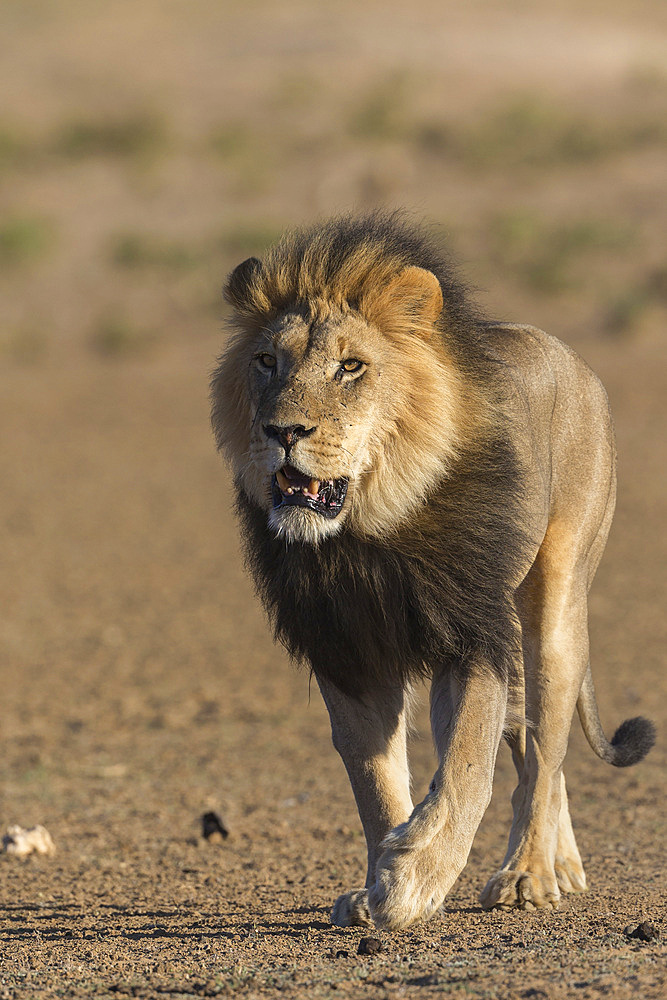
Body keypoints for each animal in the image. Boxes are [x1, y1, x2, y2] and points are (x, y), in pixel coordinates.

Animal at [211, 215, 656, 932]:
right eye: (266, 362)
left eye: (350, 367)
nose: (282, 431)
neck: (366, 533)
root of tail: (570, 356)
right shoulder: (345, 650)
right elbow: (372, 781)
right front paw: (375, 885)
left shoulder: (469, 634)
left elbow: (466, 765)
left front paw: (416, 875)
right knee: (538, 751)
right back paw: (560, 866)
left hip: (553, 613)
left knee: (546, 748)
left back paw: (529, 875)